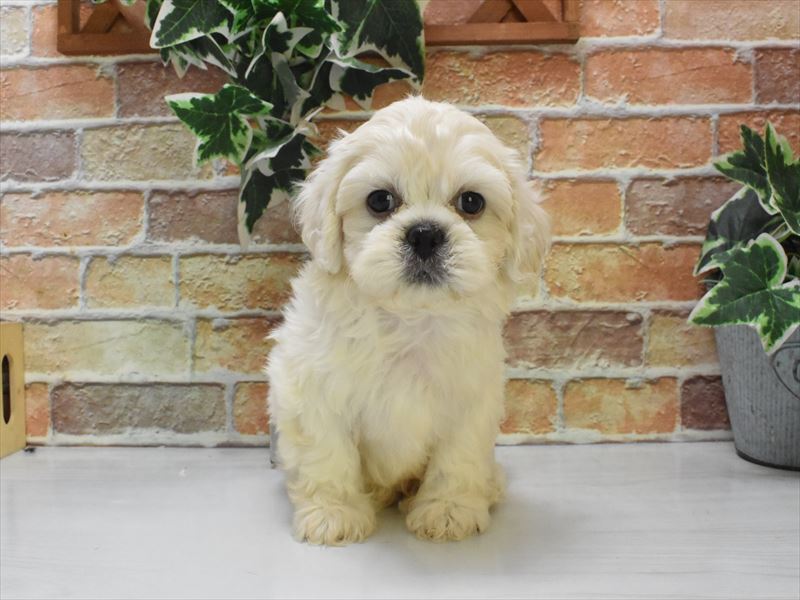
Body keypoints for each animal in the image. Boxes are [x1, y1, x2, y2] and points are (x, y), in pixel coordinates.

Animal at [266, 97, 550, 545]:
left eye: (472, 202)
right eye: (380, 201)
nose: (425, 233)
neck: (410, 319)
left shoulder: (470, 402)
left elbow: (457, 458)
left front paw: (448, 510)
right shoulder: (312, 394)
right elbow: (328, 457)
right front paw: (333, 514)